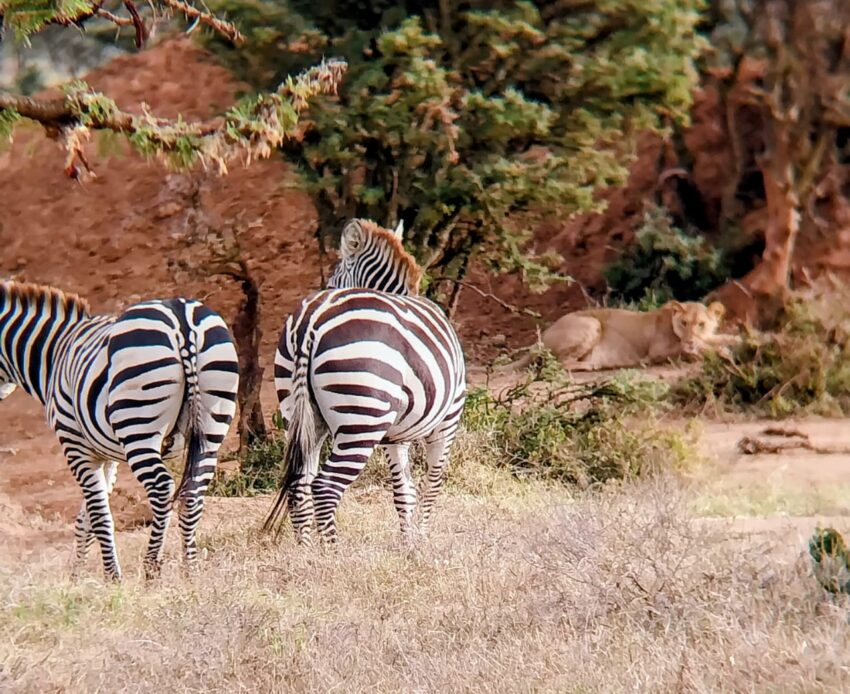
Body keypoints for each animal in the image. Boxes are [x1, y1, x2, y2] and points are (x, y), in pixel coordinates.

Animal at [0, 281, 239, 581]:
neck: (54, 355)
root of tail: (181, 319)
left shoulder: (74, 444)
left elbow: (99, 514)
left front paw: (112, 577)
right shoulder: (105, 456)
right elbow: (86, 517)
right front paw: (77, 577)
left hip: (139, 426)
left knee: (162, 488)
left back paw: (151, 569)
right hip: (212, 424)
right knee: (193, 494)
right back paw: (191, 571)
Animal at [265, 218, 467, 545]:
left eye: (334, 278)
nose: (327, 287)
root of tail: (312, 319)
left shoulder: (395, 436)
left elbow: (405, 491)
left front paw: (409, 543)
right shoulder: (447, 422)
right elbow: (431, 487)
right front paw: (422, 540)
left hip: (298, 410)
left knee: (300, 482)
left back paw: (305, 550)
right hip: (362, 418)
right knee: (326, 487)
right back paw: (332, 552)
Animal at [496, 300, 736, 373]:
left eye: (701, 324)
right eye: (684, 323)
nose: (690, 339)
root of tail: (540, 339)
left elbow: (717, 338)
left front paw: (735, 341)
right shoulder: (656, 352)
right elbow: (694, 349)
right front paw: (722, 352)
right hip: (591, 323)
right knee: (558, 364)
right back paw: (593, 366)